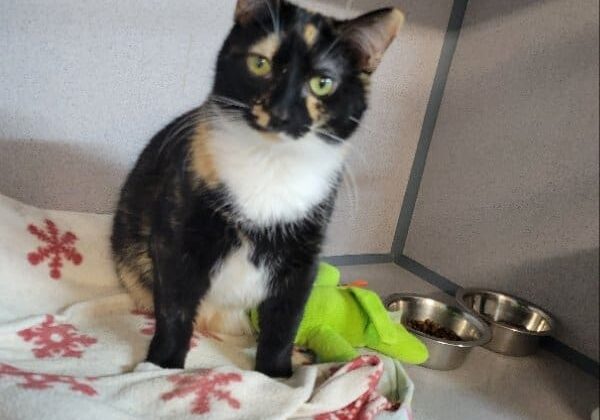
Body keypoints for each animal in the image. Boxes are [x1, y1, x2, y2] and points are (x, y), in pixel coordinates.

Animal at [112, 0, 404, 378]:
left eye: (323, 83)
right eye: (259, 63)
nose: (280, 112)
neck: (271, 163)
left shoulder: (304, 253)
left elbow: (285, 320)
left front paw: (278, 375)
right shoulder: (178, 234)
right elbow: (175, 308)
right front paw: (161, 367)